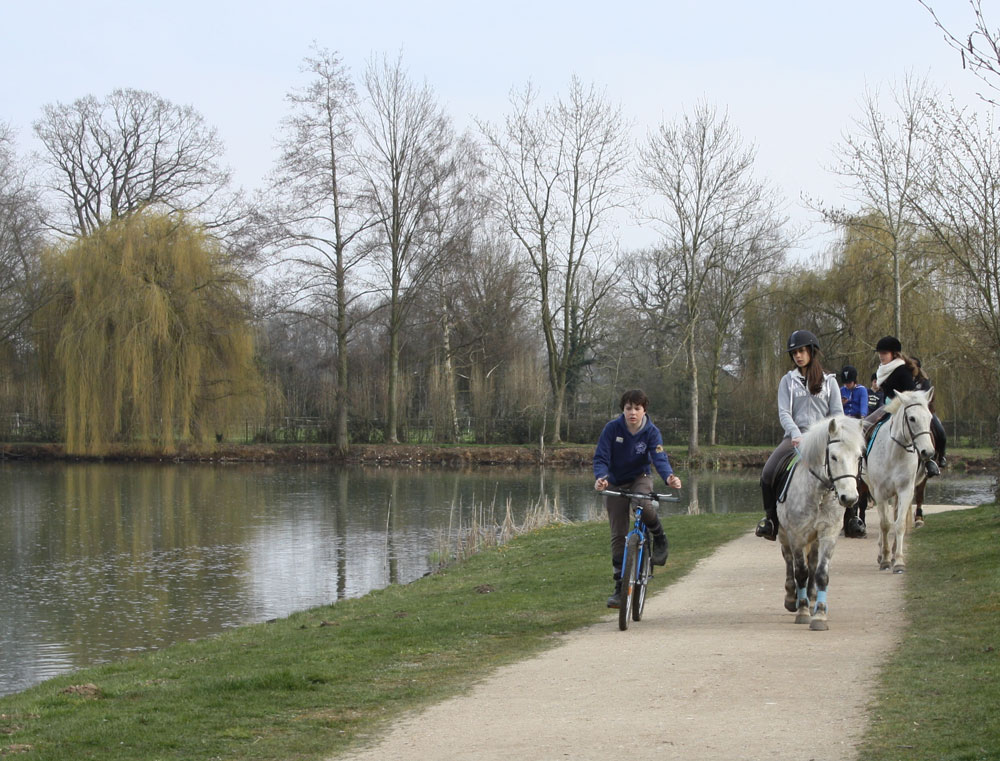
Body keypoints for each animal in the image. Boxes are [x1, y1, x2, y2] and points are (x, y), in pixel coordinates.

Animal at [776, 416, 864, 628]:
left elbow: (821, 573)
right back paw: (792, 598)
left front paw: (820, 615)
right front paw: (802, 611)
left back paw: (812, 598)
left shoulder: (828, 534)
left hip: (815, 538)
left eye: (858, 457)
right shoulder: (796, 535)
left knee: (813, 563)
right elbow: (800, 572)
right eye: (833, 457)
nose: (849, 498)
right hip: (784, 534)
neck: (819, 494)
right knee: (788, 561)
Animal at [860, 388, 936, 572]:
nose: (928, 452)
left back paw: (894, 553)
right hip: (874, 489)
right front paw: (886, 559)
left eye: (929, 417)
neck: (895, 453)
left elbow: (899, 523)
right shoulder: (880, 493)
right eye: (912, 418)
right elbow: (885, 524)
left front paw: (899, 561)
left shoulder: (905, 490)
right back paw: (882, 553)